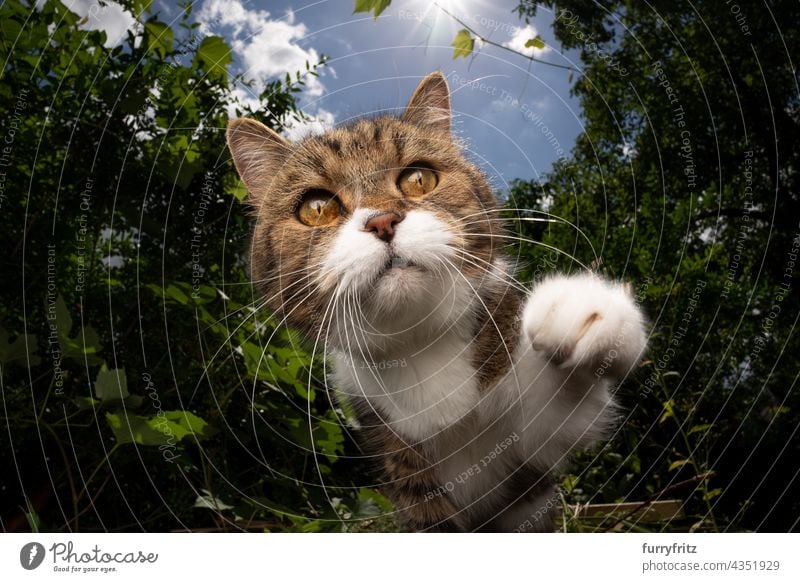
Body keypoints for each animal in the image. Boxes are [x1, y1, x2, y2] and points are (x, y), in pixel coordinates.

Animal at [222, 72, 648, 532]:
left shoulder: (530, 446)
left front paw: (584, 311)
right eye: (317, 208)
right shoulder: (395, 449)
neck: (420, 344)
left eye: (419, 179)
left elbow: (558, 417)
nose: (383, 221)